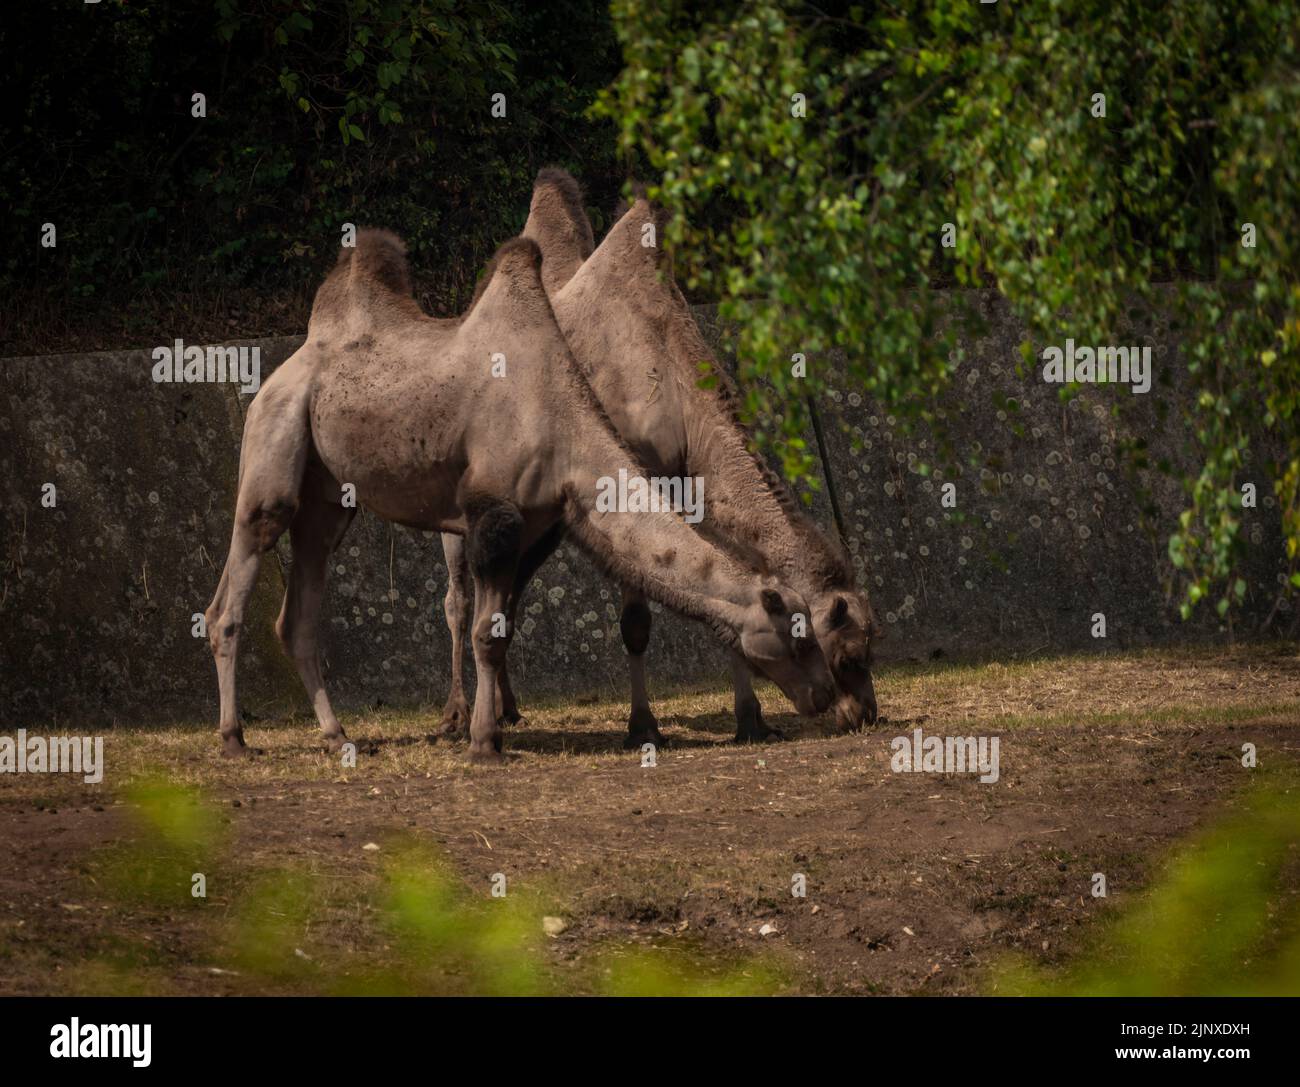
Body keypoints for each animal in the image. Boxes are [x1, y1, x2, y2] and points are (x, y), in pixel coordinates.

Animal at [202, 226, 832, 759]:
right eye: (800, 637)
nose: (830, 696)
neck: (565, 430)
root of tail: (281, 369)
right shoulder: (494, 516)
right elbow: (485, 633)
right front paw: (484, 743)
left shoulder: (529, 521)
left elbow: (501, 632)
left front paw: (492, 731)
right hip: (275, 441)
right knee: (236, 579)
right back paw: (234, 738)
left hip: (329, 498)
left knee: (298, 610)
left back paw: (338, 736)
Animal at [439, 167, 883, 748]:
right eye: (849, 654)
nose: (864, 713)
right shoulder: (625, 480)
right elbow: (636, 624)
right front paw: (643, 726)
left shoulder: (688, 485)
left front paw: (750, 719)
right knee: (458, 596)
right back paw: (454, 713)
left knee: (511, 590)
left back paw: (509, 709)